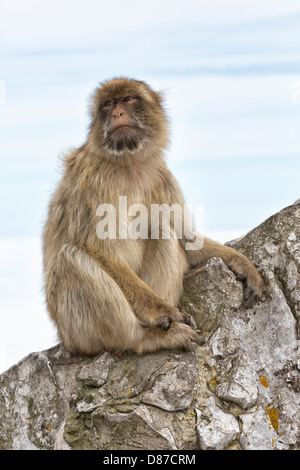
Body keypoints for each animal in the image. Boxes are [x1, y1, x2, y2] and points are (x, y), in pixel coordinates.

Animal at [42, 77, 262, 356]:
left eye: (128, 99)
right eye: (108, 103)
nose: (118, 113)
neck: (129, 164)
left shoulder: (163, 177)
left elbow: (187, 239)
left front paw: (242, 263)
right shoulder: (90, 180)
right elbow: (99, 249)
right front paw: (161, 311)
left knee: (161, 228)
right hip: (76, 332)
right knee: (72, 257)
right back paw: (145, 337)